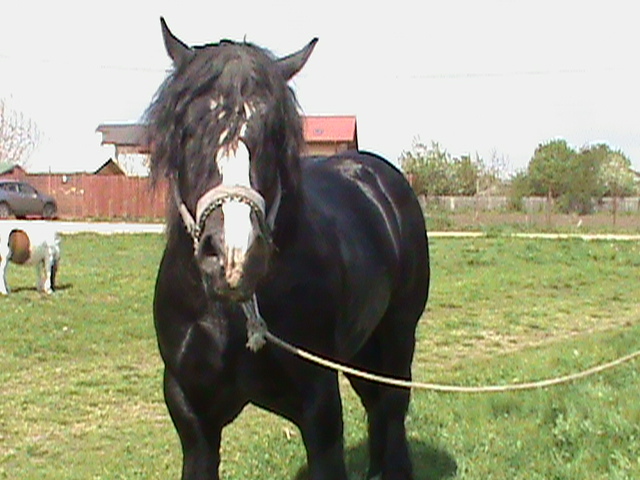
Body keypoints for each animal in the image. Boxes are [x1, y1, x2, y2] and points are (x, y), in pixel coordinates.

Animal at [149, 18, 430, 480]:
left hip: (397, 336)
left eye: (274, 133)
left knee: (390, 411)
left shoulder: (319, 409)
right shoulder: (192, 415)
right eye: (188, 129)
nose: (234, 257)